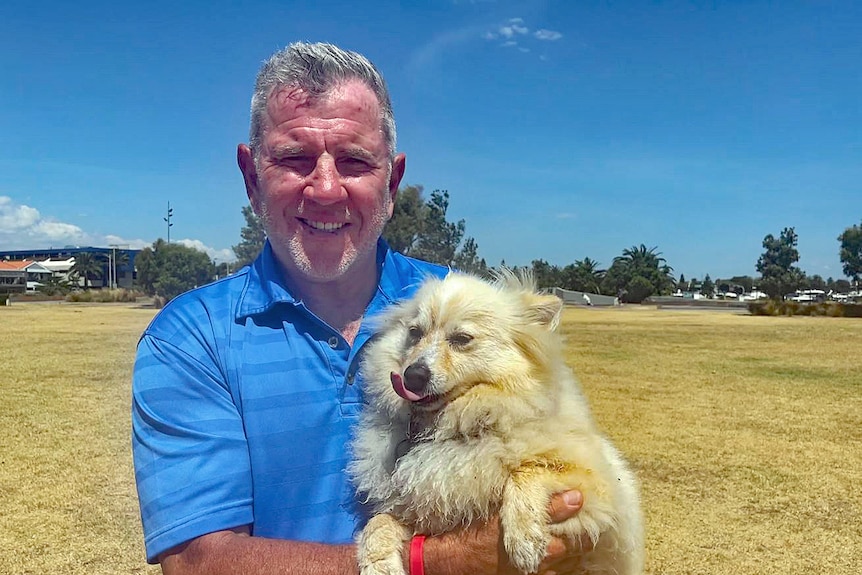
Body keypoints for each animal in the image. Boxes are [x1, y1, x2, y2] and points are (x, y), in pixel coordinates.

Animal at [350, 274, 640, 575]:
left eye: (462, 339)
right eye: (415, 333)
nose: (413, 375)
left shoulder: (598, 491)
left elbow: (528, 469)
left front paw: (524, 539)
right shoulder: (416, 511)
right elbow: (378, 522)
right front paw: (378, 564)